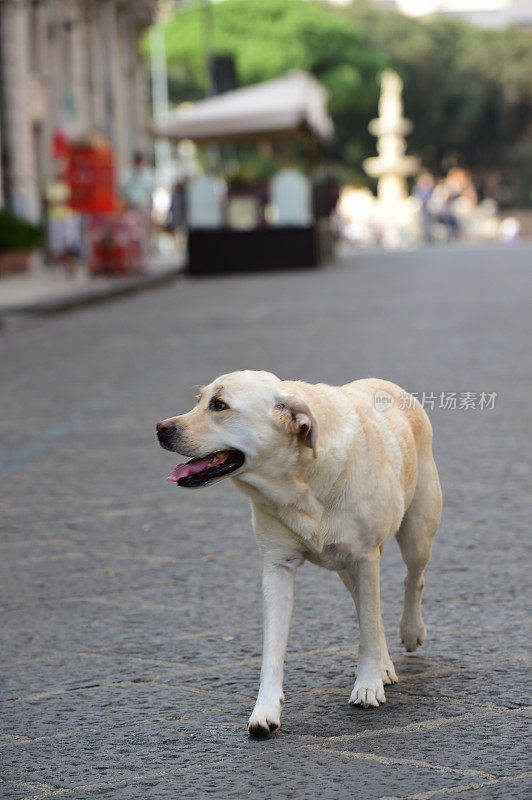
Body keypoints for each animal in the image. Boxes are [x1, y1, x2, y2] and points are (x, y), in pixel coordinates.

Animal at [156, 372, 442, 736]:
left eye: (219, 405)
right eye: (198, 401)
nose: (161, 427)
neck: (299, 482)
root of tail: (384, 382)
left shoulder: (364, 558)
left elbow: (368, 625)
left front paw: (366, 685)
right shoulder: (277, 567)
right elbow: (273, 649)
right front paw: (264, 711)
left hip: (417, 532)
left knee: (411, 581)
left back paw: (410, 632)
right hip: (346, 567)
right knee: (369, 609)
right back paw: (386, 665)